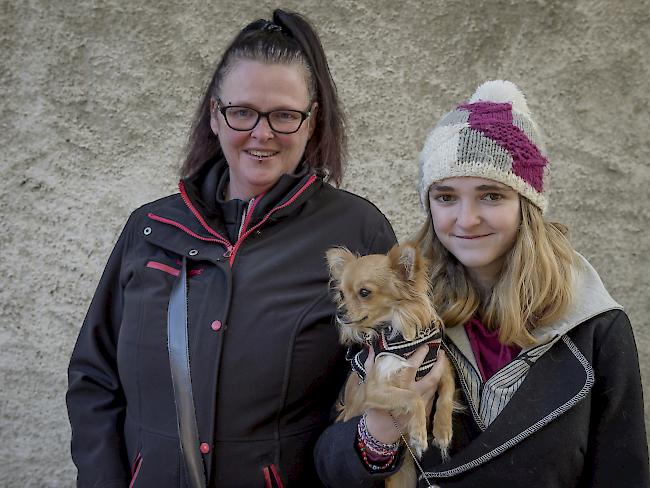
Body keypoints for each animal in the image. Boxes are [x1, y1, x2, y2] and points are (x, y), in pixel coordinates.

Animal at [326, 242, 454, 486]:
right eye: (341, 294)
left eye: (364, 293)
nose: (339, 312)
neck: (397, 329)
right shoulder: (373, 389)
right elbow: (412, 397)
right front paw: (418, 433)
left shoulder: (440, 364)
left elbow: (447, 393)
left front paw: (443, 431)